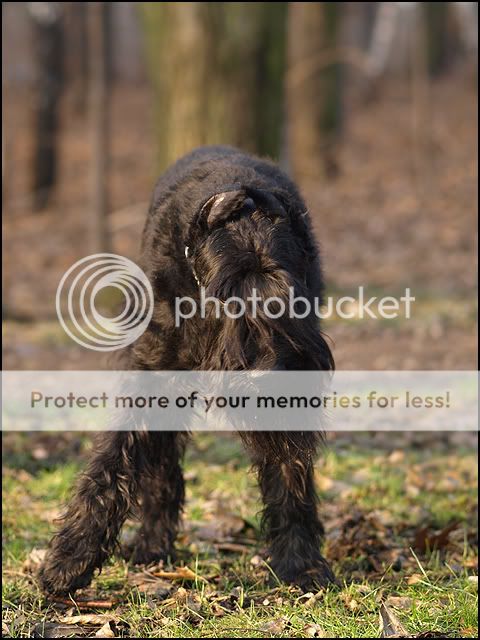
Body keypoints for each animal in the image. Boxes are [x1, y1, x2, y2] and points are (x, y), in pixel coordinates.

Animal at [39, 145, 336, 595]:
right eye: (225, 294)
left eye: (291, 293)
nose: (265, 374)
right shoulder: (148, 375)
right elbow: (112, 462)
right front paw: (68, 560)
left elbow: (290, 472)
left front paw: (300, 563)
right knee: (162, 468)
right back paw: (152, 543)